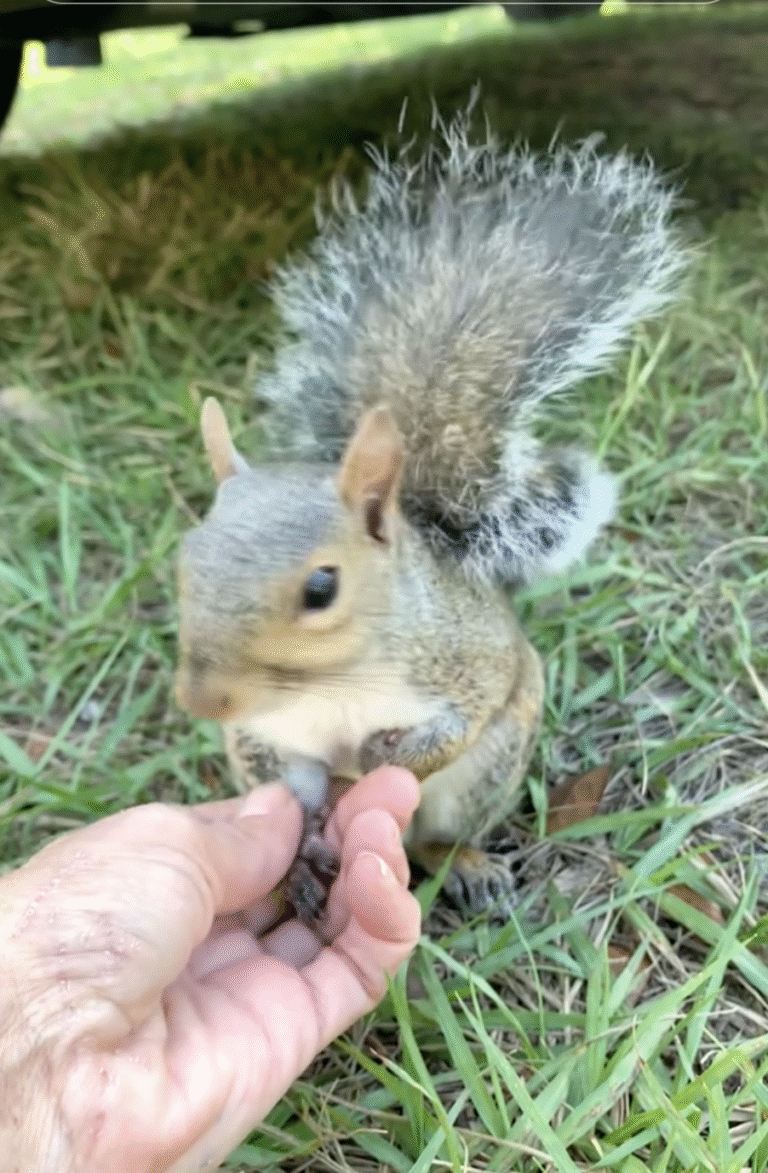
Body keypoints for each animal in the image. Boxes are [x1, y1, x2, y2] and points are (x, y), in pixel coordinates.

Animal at [174, 112, 689, 923]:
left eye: (322, 589)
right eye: (185, 564)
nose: (202, 701)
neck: (329, 686)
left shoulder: (464, 660)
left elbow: (462, 718)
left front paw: (387, 757)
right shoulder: (270, 735)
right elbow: (290, 783)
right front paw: (298, 851)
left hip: (491, 773)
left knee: (436, 838)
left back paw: (468, 863)